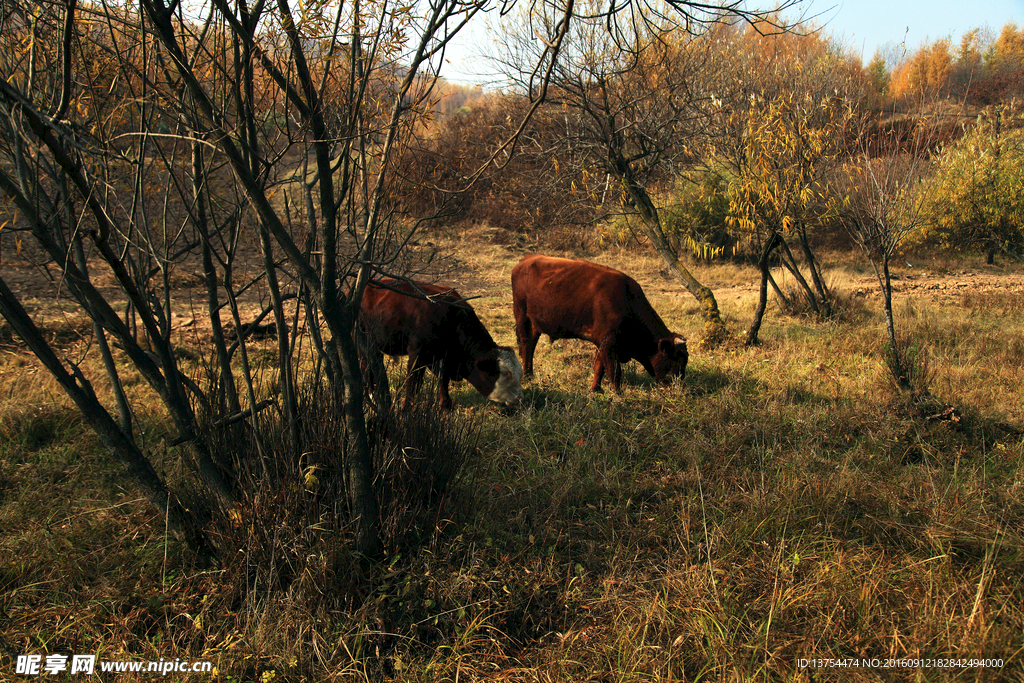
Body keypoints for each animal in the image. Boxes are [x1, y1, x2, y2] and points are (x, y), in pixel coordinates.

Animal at [360, 278, 524, 411]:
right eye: (504, 373)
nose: (519, 397)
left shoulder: (442, 357)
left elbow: (443, 379)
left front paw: (446, 406)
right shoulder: (417, 354)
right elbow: (412, 382)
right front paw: (406, 409)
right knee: (365, 367)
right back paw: (371, 395)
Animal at [512, 254, 688, 395]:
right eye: (676, 358)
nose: (679, 387)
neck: (627, 299)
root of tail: (528, 259)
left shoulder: (603, 342)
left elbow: (599, 367)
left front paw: (595, 390)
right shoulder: (608, 342)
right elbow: (614, 371)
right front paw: (618, 395)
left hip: (536, 323)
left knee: (532, 345)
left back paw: (529, 374)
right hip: (521, 314)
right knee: (526, 344)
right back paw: (527, 376)